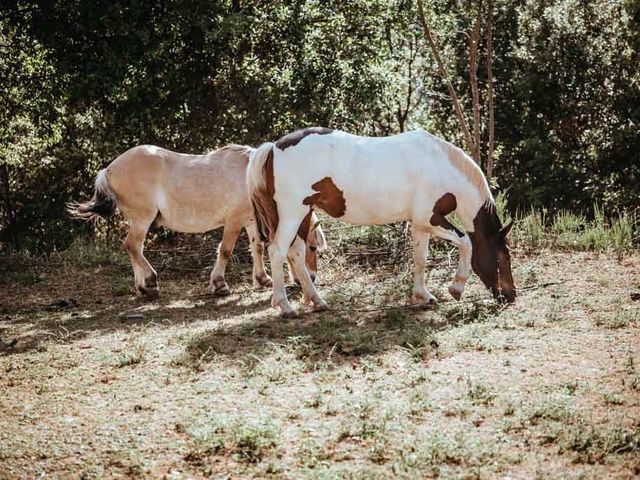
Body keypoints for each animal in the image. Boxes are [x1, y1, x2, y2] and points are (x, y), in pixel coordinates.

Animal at [69, 144, 324, 298]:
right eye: (312, 247)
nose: (311, 277)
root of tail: (109, 169)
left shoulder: (250, 220)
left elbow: (257, 248)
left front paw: (262, 279)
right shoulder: (233, 221)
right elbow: (226, 250)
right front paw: (220, 284)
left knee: (134, 248)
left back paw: (142, 286)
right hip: (143, 219)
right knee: (133, 246)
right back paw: (150, 281)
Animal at [248, 126, 516, 318]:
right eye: (501, 258)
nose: (511, 296)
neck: (441, 167)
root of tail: (274, 147)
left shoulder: (420, 224)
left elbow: (420, 258)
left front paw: (423, 296)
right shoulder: (431, 219)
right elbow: (466, 243)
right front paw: (456, 288)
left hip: (303, 216)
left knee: (296, 254)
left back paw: (317, 301)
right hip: (293, 214)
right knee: (278, 252)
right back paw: (285, 307)